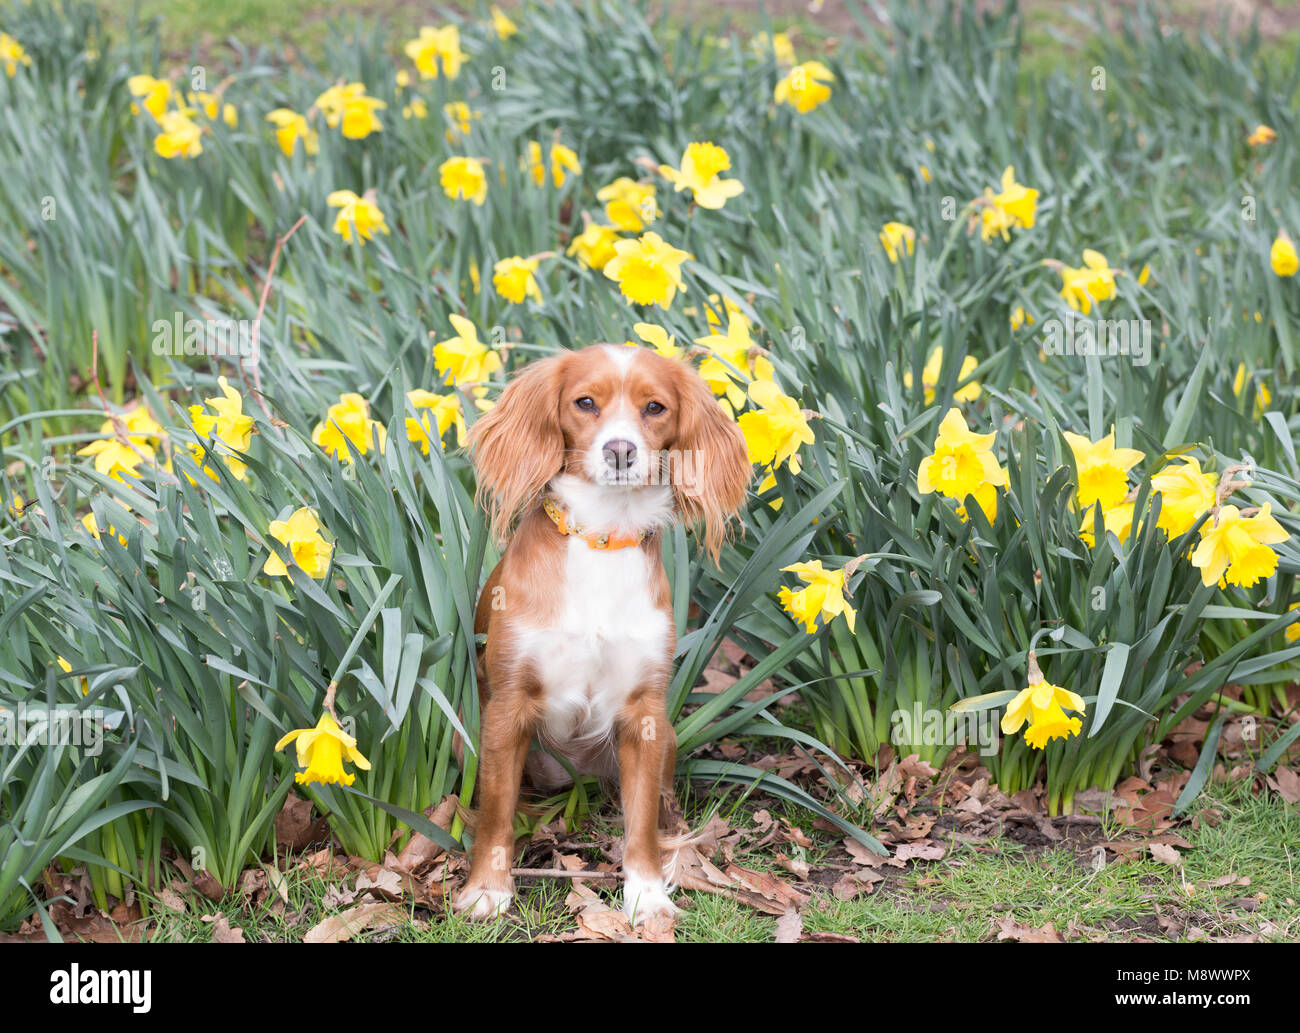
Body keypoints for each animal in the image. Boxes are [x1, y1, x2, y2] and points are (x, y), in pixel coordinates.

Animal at [452, 343, 748, 925]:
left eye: (655, 407)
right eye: (585, 402)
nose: (619, 450)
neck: (602, 538)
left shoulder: (644, 715)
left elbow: (643, 823)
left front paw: (647, 894)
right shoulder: (507, 707)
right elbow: (495, 812)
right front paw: (487, 891)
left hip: (668, 736)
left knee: (664, 810)